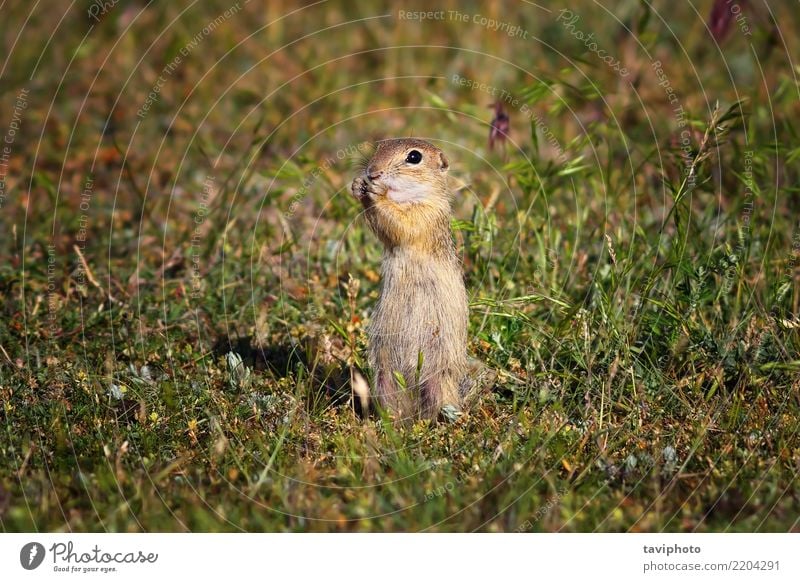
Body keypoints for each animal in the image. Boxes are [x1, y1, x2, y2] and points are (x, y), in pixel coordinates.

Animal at [350, 139, 468, 422]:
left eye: (414, 157)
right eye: (379, 146)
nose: (372, 172)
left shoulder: (425, 214)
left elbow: (402, 223)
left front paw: (375, 192)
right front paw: (358, 186)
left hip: (438, 379)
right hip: (384, 378)